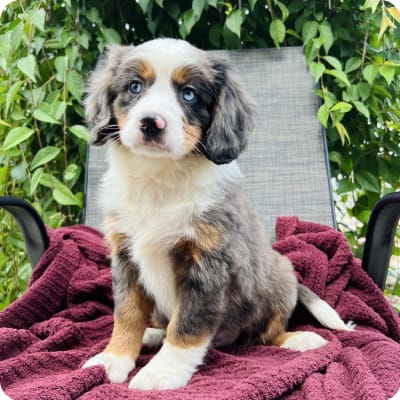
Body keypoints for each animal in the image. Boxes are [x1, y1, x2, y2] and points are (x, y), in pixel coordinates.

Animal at [82, 39, 354, 390]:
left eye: (188, 94)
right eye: (134, 87)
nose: (151, 123)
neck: (159, 179)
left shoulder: (208, 259)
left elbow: (187, 324)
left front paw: (162, 373)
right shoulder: (125, 254)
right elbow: (126, 314)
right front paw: (113, 359)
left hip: (280, 275)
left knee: (267, 333)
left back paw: (300, 339)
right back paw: (152, 334)